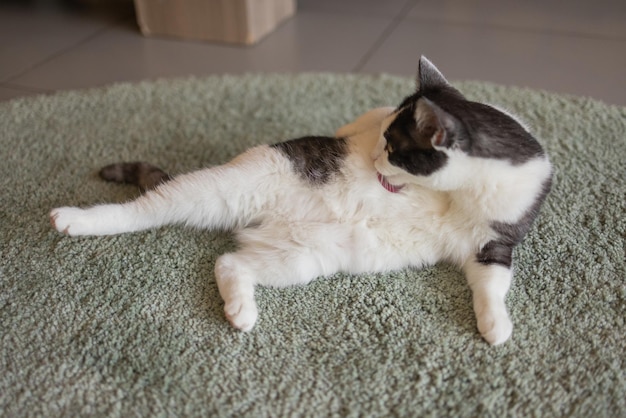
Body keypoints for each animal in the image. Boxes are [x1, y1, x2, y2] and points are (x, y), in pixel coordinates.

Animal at [52, 57, 552, 344]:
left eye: (393, 148)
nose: (375, 158)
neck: (461, 192)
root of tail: (259, 220)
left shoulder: (493, 242)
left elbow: (491, 284)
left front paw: (496, 325)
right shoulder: (370, 120)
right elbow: (362, 119)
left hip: (303, 258)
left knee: (229, 263)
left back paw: (241, 311)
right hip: (225, 187)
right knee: (143, 209)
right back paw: (76, 220)